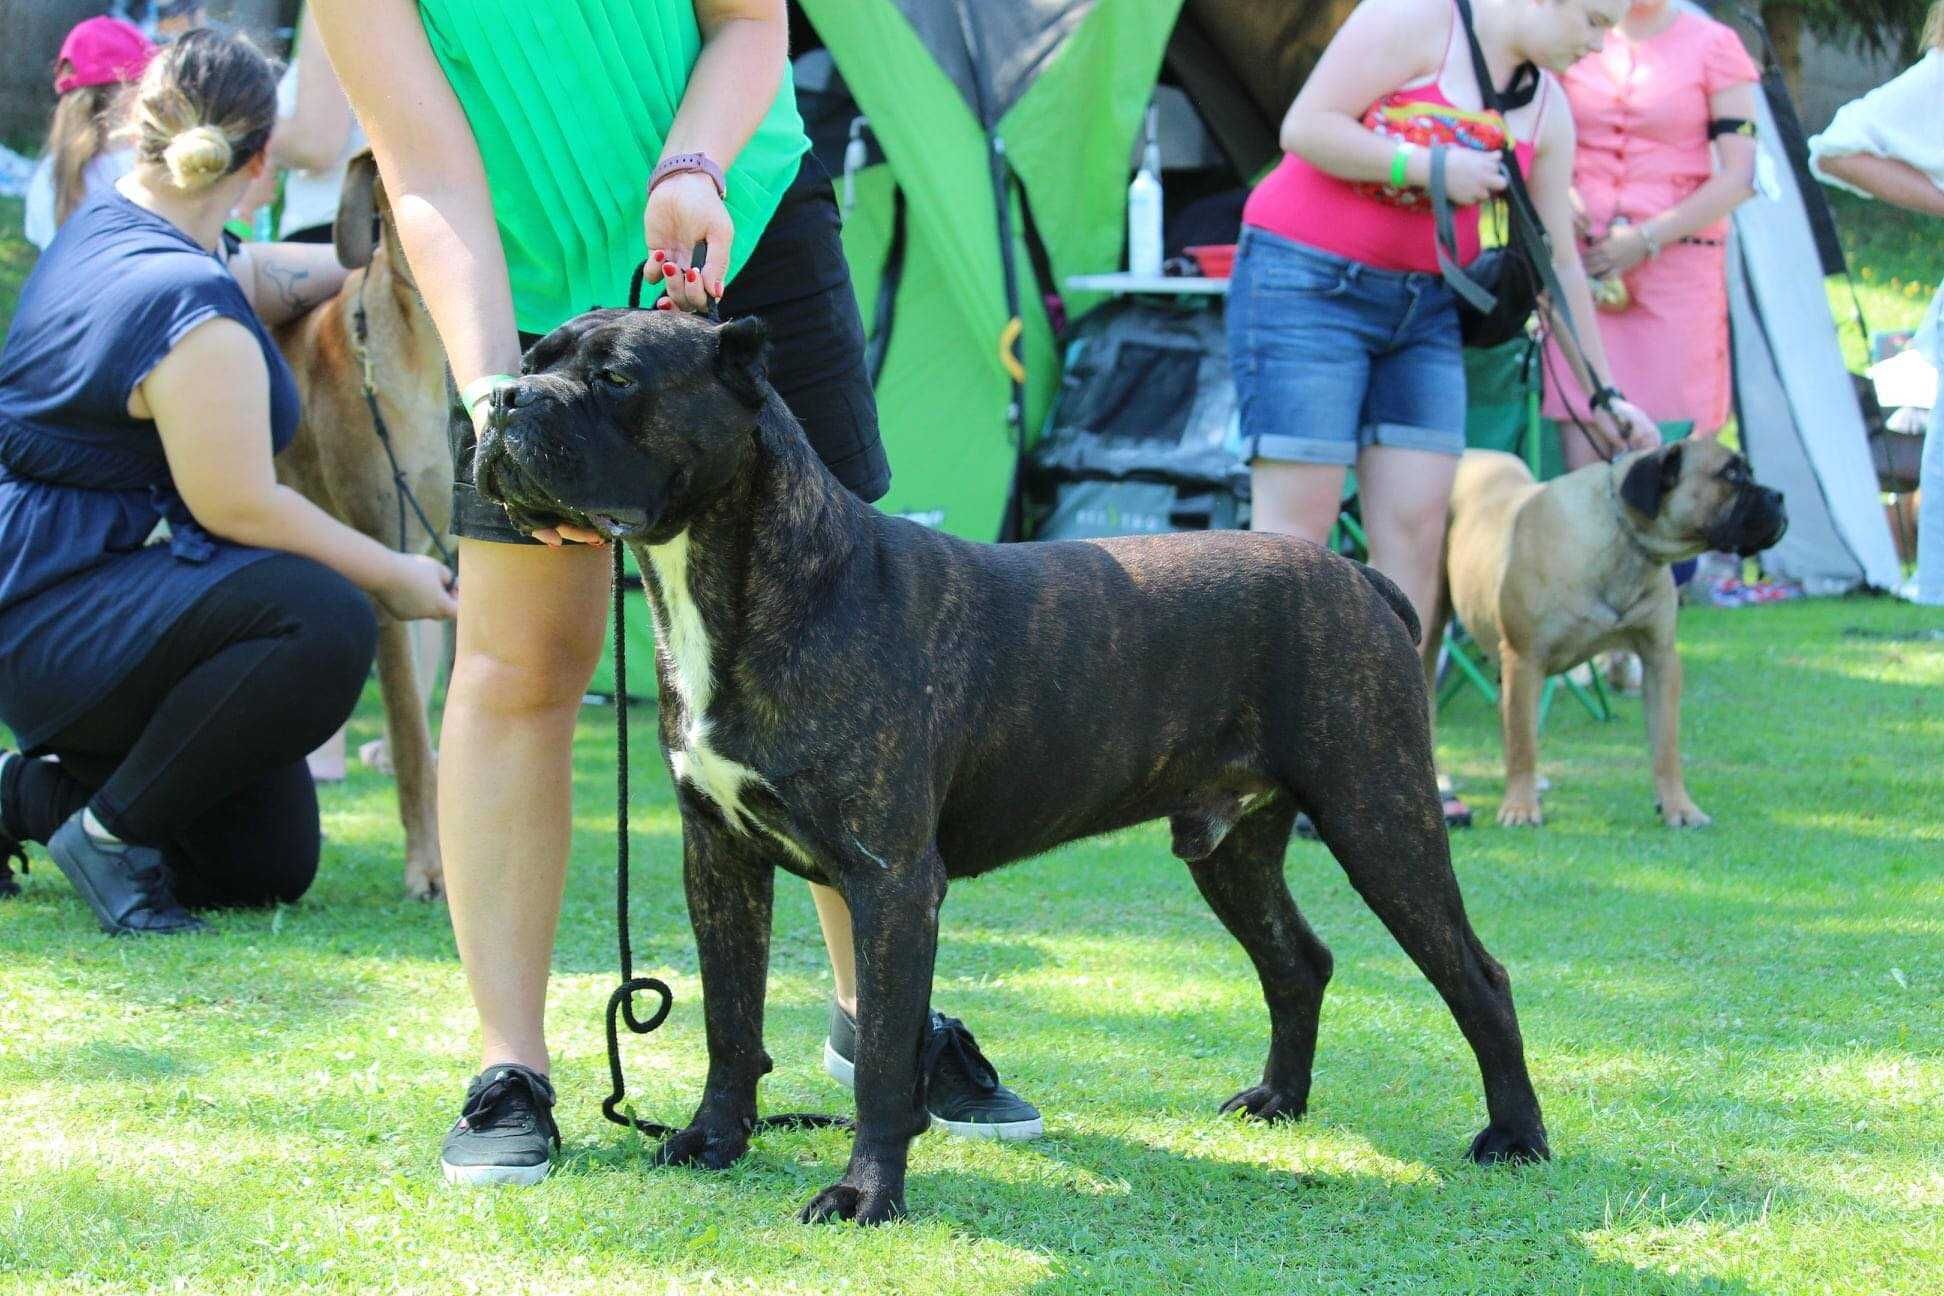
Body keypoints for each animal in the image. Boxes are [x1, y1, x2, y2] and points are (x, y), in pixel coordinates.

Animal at [470, 308, 1547, 1220]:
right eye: (532, 359)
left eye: (615, 377)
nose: (502, 401)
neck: (738, 580)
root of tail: (1358, 577)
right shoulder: (721, 859)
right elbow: (731, 1022)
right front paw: (712, 1141)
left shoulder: (893, 882)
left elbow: (880, 1061)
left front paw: (864, 1195)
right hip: (1232, 846)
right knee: (1298, 961)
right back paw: (1279, 1099)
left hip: (1379, 817)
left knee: (1478, 975)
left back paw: (1516, 1138)